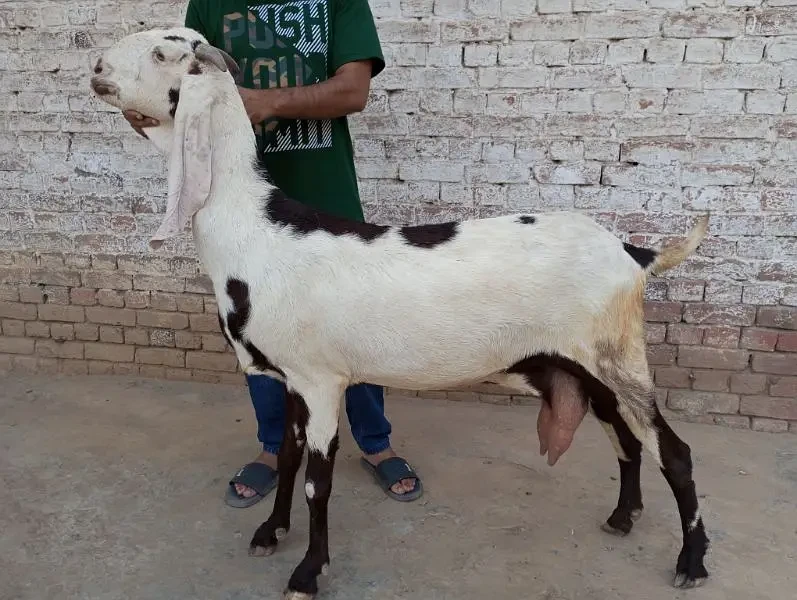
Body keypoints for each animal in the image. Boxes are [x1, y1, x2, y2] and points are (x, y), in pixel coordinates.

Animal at [90, 28, 711, 599]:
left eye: (162, 53)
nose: (95, 67)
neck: (257, 229)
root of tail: (634, 253)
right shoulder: (291, 377)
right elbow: (287, 457)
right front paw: (270, 532)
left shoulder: (320, 381)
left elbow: (318, 481)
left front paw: (307, 573)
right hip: (582, 364)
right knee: (627, 440)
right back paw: (623, 517)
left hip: (618, 358)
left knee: (674, 452)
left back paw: (691, 562)